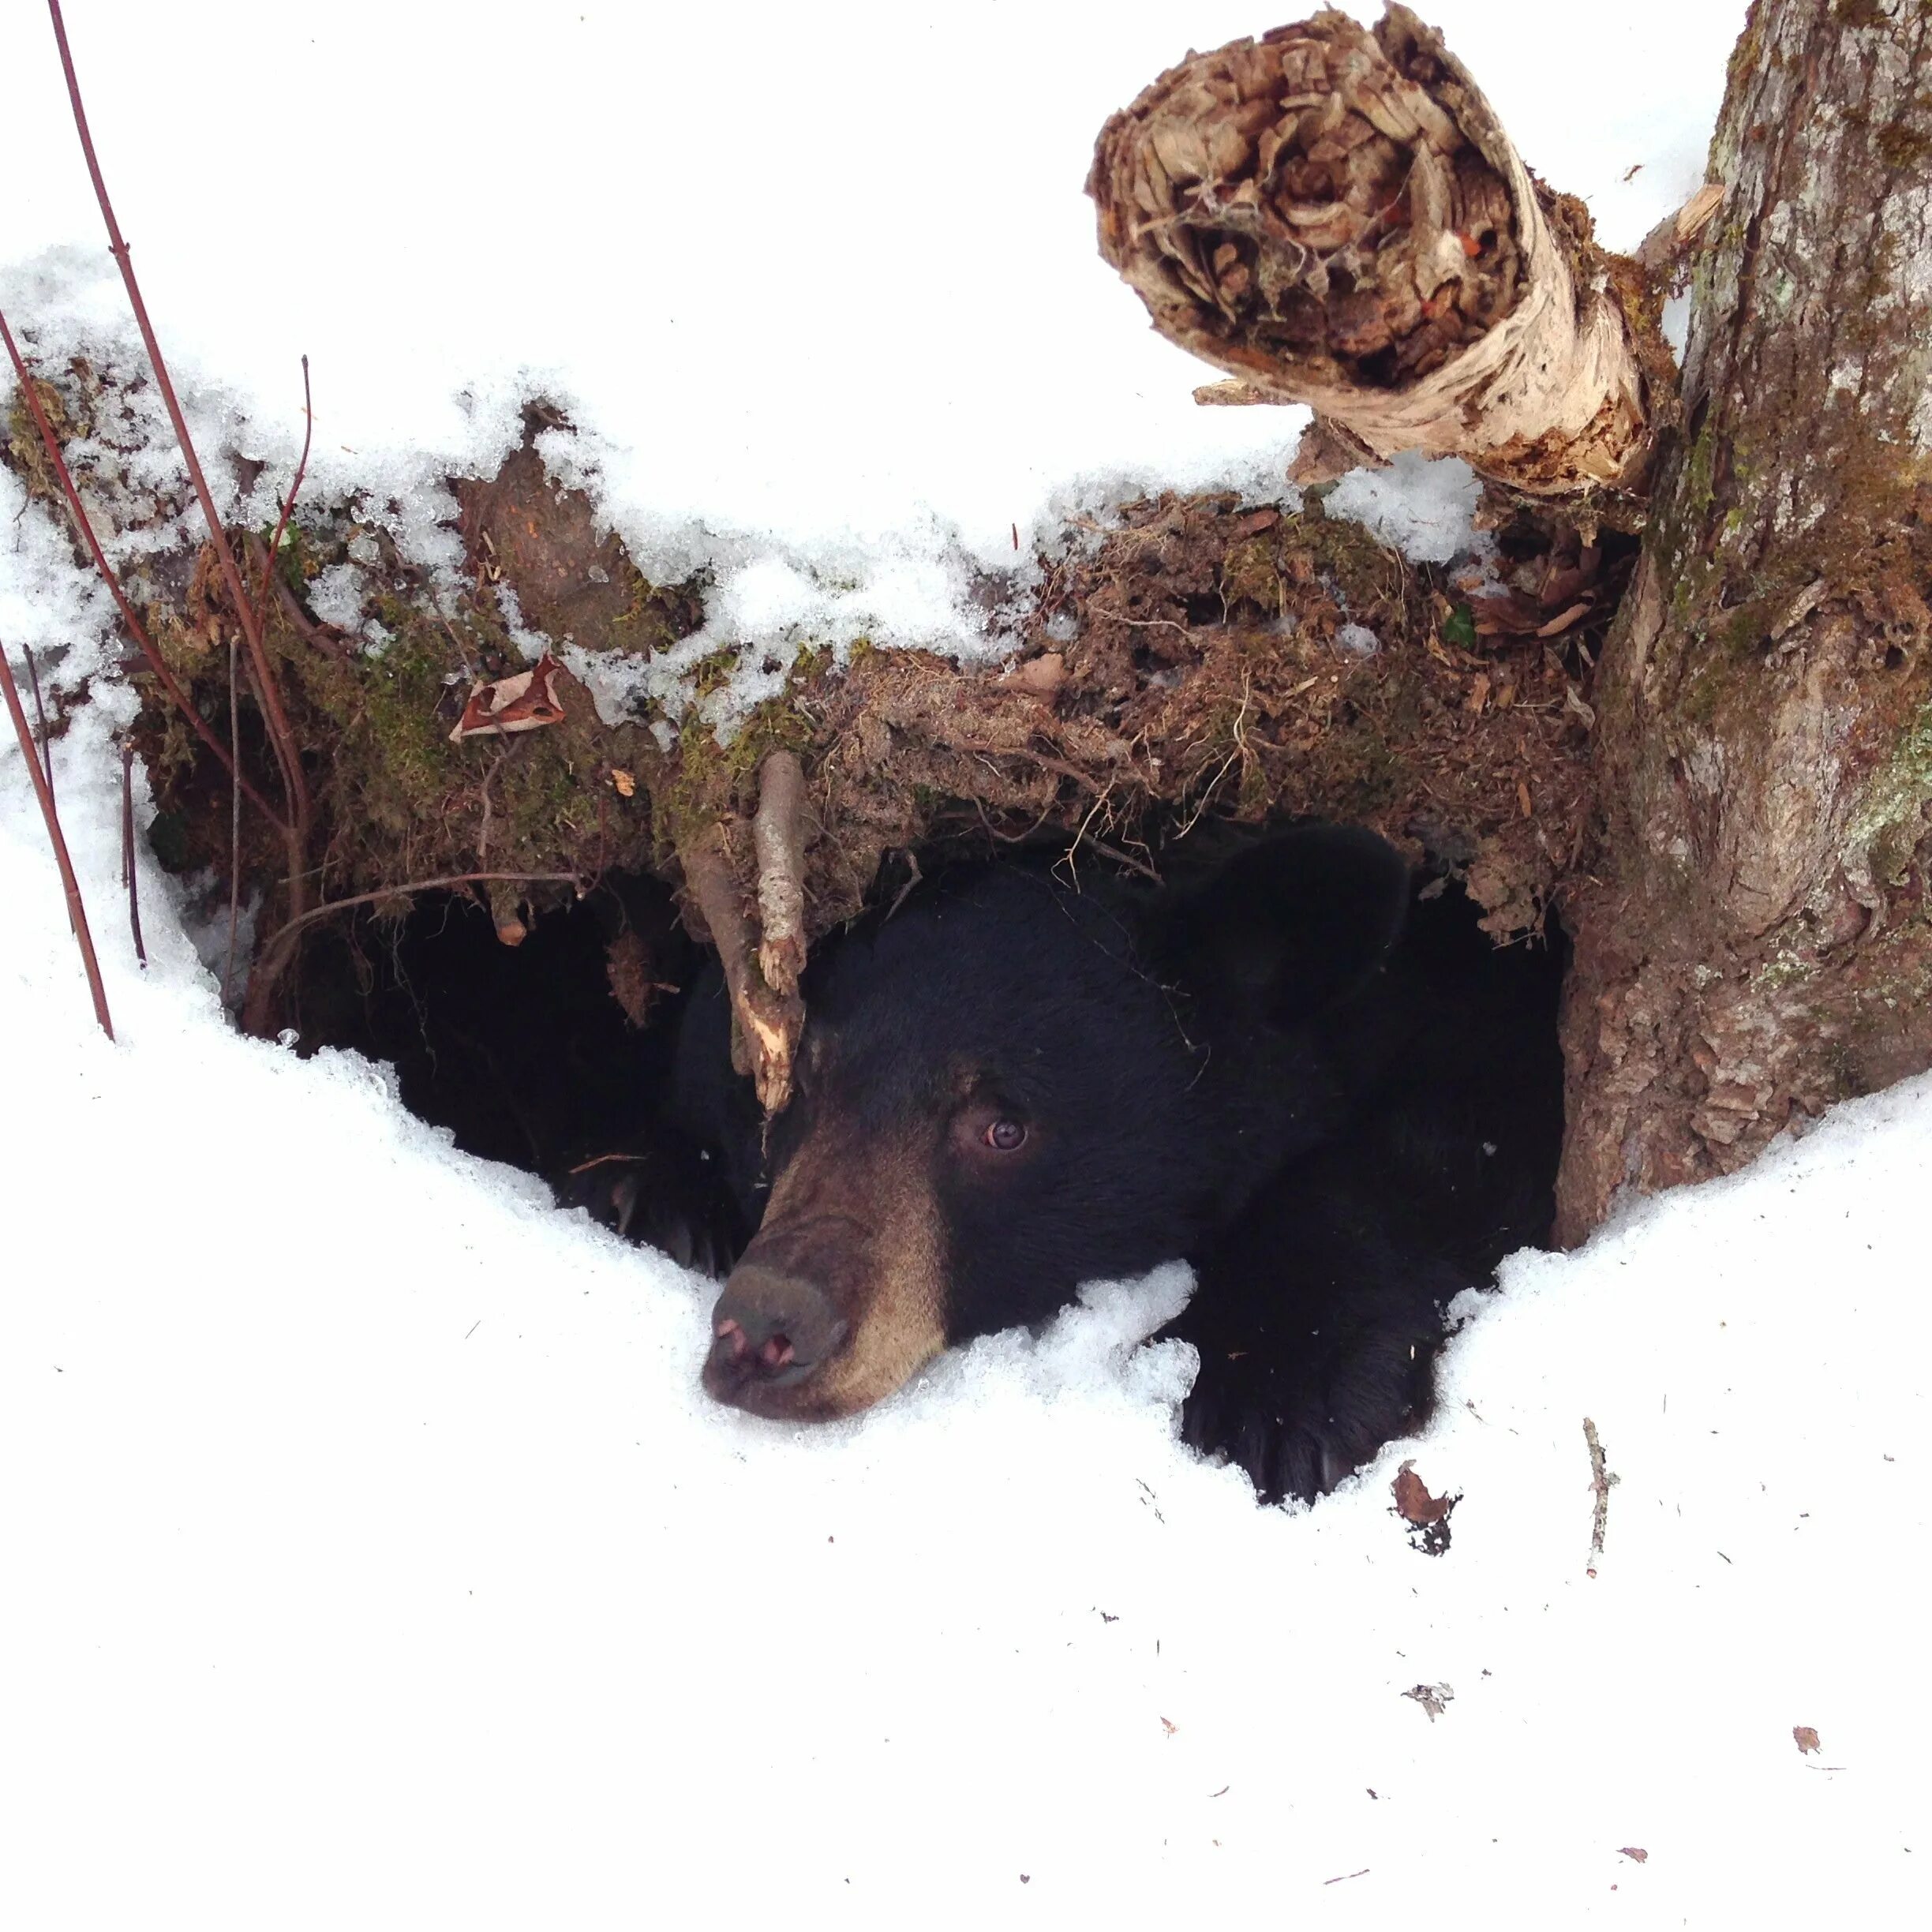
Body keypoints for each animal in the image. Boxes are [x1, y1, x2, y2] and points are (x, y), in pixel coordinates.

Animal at [564, 822, 1560, 1499]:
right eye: (796, 1079)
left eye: (1005, 1128)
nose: (766, 1329)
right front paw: (661, 1197)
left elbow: (1453, 1141)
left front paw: (1275, 1386)